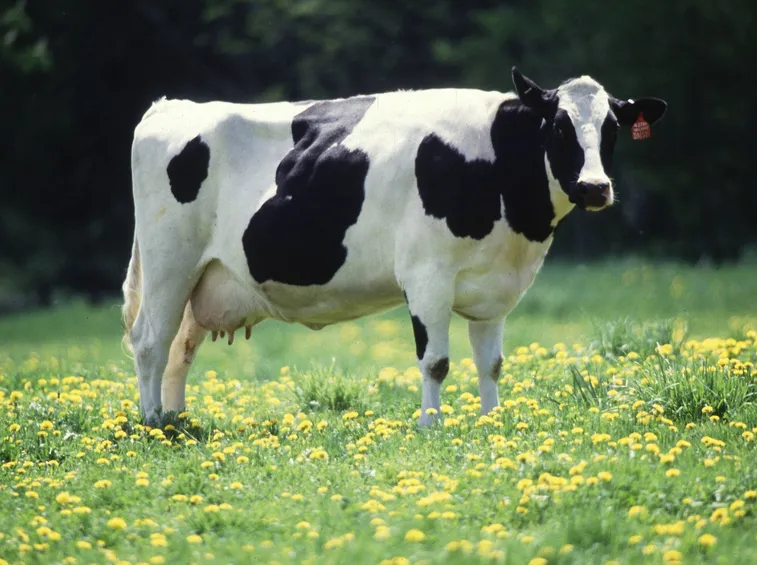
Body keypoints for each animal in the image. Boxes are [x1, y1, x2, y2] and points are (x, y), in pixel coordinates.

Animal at [122, 67, 667, 428]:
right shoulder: (427, 275)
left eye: (612, 128)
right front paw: (431, 426)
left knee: (180, 348)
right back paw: (153, 423)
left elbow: (490, 362)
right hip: (169, 261)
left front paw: (492, 421)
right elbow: (436, 361)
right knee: (150, 341)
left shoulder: (495, 287)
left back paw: (177, 420)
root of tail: (171, 106)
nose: (595, 187)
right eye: (558, 126)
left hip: (204, 277)